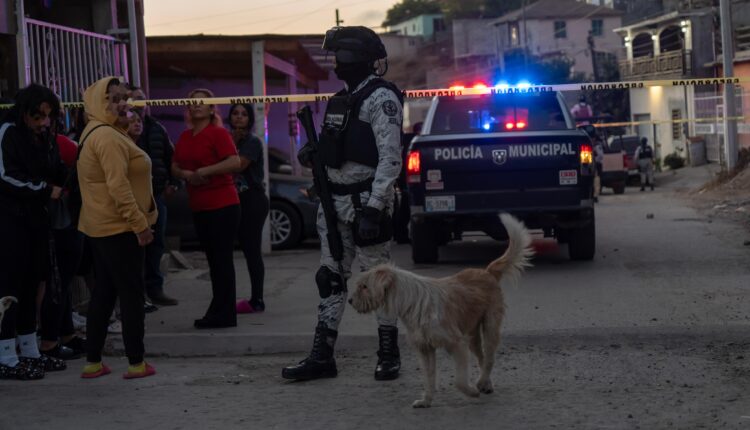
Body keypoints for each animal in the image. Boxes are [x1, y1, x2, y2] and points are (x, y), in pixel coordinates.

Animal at [350, 213, 532, 408]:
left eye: (364, 286)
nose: (350, 301)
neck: (413, 302)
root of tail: (487, 272)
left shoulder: (457, 344)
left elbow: (459, 381)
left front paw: (471, 391)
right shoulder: (425, 349)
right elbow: (428, 377)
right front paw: (426, 400)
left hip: (490, 328)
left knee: (489, 359)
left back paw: (481, 383)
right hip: (472, 336)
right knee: (483, 358)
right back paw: (486, 383)